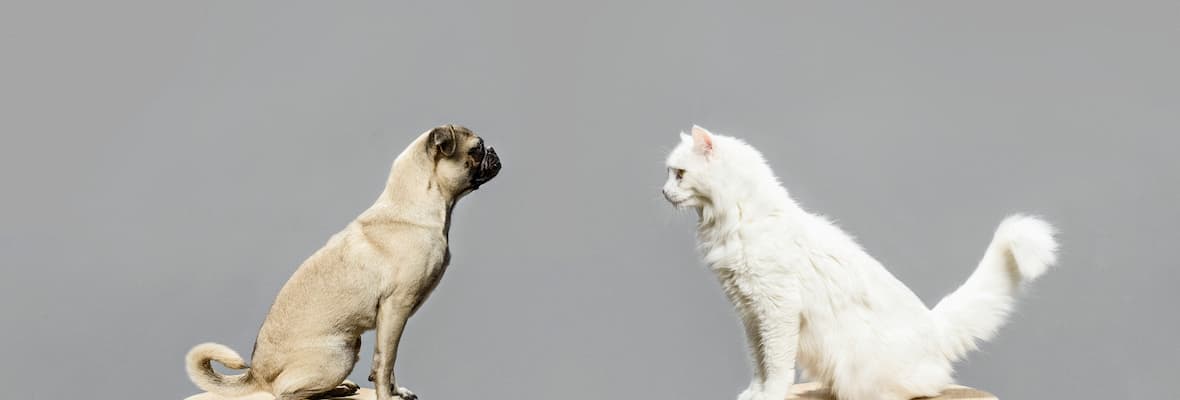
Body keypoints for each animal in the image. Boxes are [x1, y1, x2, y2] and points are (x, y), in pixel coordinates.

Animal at [185, 125, 502, 400]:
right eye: (477, 149)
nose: (493, 152)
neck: (414, 206)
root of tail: (257, 374)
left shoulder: (390, 319)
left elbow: (388, 364)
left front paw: (396, 391)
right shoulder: (395, 308)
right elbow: (384, 363)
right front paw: (386, 396)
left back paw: (341, 388)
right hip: (340, 354)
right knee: (285, 393)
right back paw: (331, 390)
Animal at [665, 126, 1062, 400]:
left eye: (679, 174)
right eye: (669, 173)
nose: (664, 192)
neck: (731, 223)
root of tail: (934, 327)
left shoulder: (777, 311)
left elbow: (776, 366)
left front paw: (771, 396)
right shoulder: (750, 314)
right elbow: (758, 363)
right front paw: (754, 394)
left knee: (921, 388)